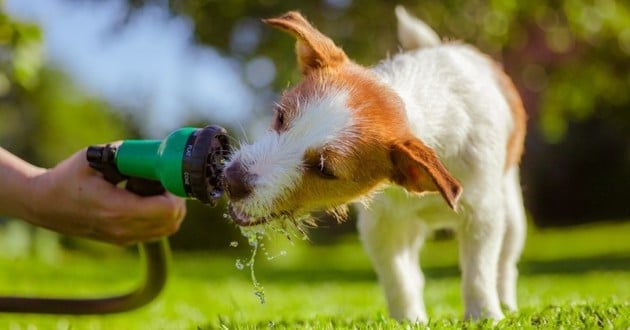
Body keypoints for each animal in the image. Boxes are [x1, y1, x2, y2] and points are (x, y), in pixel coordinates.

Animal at [225, 6, 532, 322]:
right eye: (281, 117)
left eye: (324, 169)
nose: (231, 180)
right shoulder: (381, 225)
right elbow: (398, 277)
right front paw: (409, 320)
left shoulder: (482, 216)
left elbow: (478, 270)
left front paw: (483, 315)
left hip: (511, 216)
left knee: (505, 263)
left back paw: (506, 302)